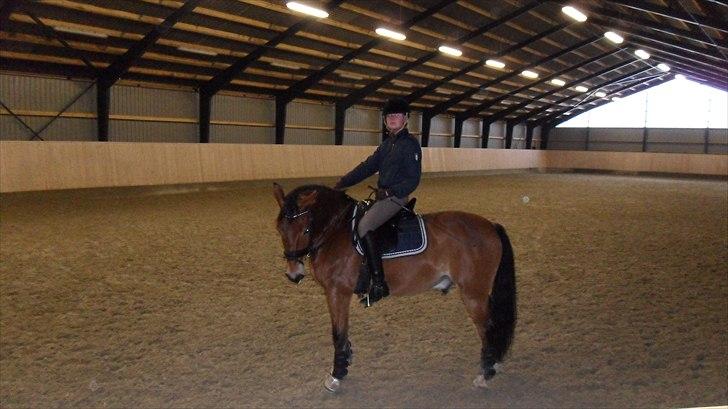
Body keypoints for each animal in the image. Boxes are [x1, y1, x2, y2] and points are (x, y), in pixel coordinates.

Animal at [273, 183, 516, 392]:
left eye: (305, 230)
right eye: (280, 229)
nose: (294, 273)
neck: (336, 232)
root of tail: (491, 226)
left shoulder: (337, 291)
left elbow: (338, 333)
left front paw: (337, 374)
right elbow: (343, 331)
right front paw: (346, 361)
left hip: (473, 294)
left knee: (488, 328)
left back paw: (485, 373)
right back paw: (493, 364)